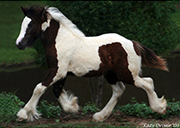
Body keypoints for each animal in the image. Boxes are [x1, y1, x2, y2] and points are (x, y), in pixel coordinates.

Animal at [15, 5, 167, 122]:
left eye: (31, 24)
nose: (19, 44)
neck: (61, 41)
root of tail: (133, 44)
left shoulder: (56, 71)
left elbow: (39, 88)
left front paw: (23, 114)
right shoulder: (62, 73)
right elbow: (56, 91)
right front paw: (73, 107)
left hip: (127, 74)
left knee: (148, 82)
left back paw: (160, 108)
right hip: (111, 74)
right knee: (119, 90)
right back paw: (100, 116)